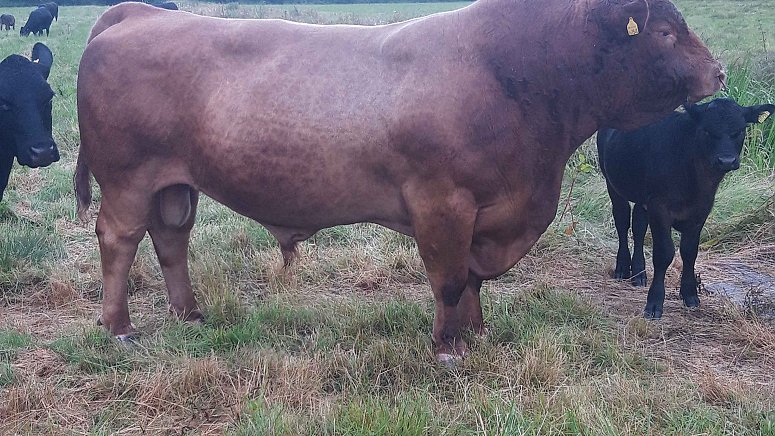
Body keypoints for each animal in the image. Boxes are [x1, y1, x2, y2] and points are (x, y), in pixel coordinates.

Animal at [75, 0, 724, 362]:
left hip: (173, 183)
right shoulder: (443, 204)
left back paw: (190, 314)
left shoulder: (489, 211)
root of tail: (140, 14)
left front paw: (477, 333)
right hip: (128, 179)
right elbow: (450, 279)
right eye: (665, 33)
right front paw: (447, 349)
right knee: (120, 240)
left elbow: (473, 279)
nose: (718, 71)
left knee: (171, 239)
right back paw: (120, 328)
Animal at [597, 98, 774, 320]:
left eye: (740, 130)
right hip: (612, 183)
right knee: (622, 222)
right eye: (706, 130)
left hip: (641, 196)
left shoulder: (700, 211)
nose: (726, 160)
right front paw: (654, 303)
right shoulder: (659, 208)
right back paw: (622, 268)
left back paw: (639, 274)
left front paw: (690, 295)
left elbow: (690, 252)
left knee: (638, 227)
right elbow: (664, 253)